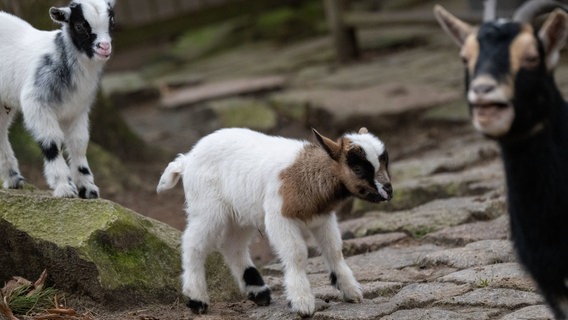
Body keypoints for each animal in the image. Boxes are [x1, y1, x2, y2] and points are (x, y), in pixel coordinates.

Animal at [0, 0, 115, 199]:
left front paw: (88, 189)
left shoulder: (77, 110)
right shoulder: (36, 104)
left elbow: (79, 144)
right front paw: (64, 187)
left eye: (112, 22)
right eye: (79, 26)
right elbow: (52, 143)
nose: (104, 47)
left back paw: (13, 179)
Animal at [158, 127, 392, 316]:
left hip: (241, 213)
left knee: (232, 246)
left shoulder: (323, 218)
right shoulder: (279, 216)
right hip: (208, 207)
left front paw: (351, 291)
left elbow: (334, 250)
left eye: (384, 164)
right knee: (194, 244)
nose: (388, 192)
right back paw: (197, 299)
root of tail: (187, 159)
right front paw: (301, 302)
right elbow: (297, 254)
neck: (306, 174)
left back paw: (258, 292)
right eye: (358, 169)